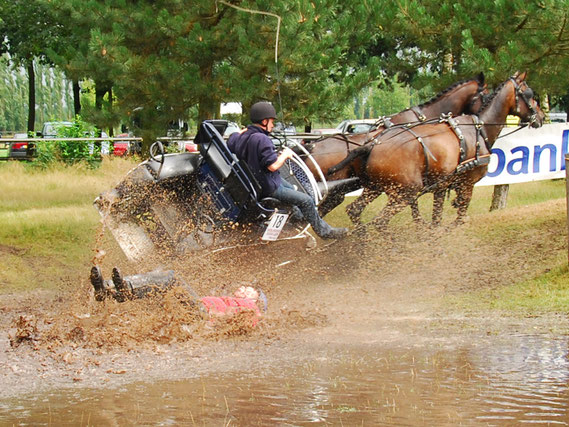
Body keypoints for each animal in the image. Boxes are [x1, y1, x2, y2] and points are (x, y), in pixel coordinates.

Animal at [330, 72, 544, 229]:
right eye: (529, 94)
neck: (479, 128)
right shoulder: (466, 184)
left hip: (376, 188)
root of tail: (372, 144)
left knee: (355, 210)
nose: (541, 117)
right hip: (403, 191)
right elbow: (457, 218)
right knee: (379, 221)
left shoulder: (441, 186)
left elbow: (437, 219)